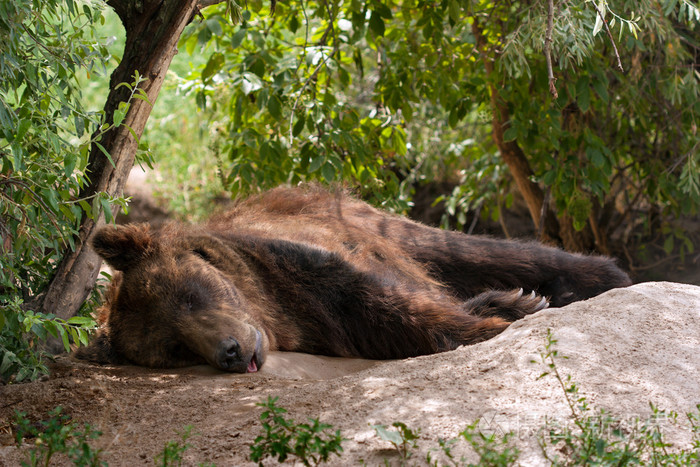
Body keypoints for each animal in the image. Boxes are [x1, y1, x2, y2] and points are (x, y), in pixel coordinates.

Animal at [75, 185, 632, 373]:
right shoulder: (327, 325)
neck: (274, 311)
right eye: (175, 348)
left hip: (365, 221)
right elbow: (397, 324)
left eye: (190, 296)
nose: (229, 352)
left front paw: (515, 309)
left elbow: (380, 296)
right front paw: (501, 312)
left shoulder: (298, 263)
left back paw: (601, 274)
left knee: (471, 251)